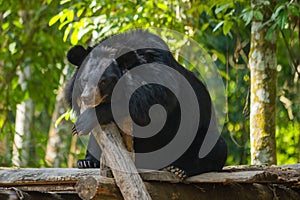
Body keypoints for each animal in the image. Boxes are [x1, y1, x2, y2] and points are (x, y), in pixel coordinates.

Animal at [65, 29, 225, 178]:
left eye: (103, 81)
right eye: (84, 80)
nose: (86, 98)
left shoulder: (159, 74)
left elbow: (148, 105)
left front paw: (83, 122)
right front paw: (87, 160)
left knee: (212, 147)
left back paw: (179, 169)